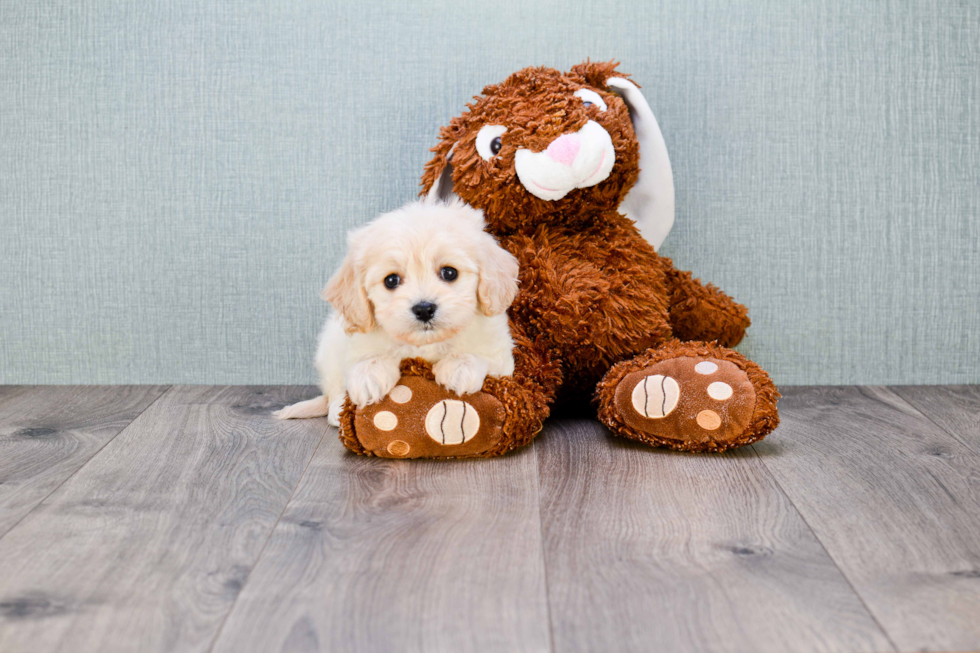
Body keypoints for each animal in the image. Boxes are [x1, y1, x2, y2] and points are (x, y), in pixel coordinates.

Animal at [276, 196, 520, 426]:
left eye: (450, 273)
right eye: (391, 280)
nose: (424, 309)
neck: (425, 344)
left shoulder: (501, 357)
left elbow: (482, 356)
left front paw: (460, 368)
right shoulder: (354, 344)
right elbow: (365, 359)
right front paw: (369, 377)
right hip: (329, 347)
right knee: (333, 388)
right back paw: (337, 411)